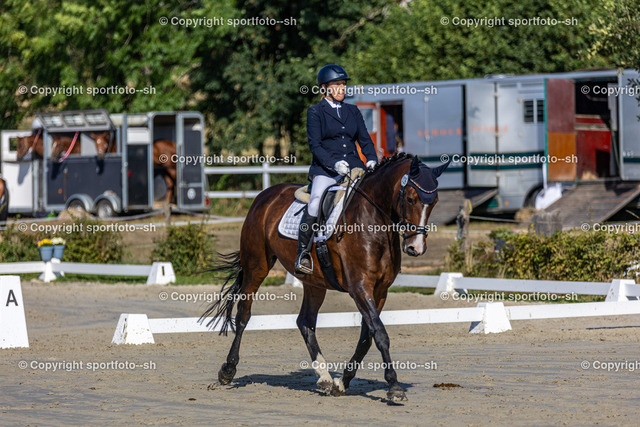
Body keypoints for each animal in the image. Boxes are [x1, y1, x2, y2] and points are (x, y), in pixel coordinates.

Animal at [201, 152, 450, 403]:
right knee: (244, 314)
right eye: (410, 198)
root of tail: (265, 195)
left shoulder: (380, 291)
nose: (416, 248)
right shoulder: (360, 288)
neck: (373, 222)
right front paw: (395, 387)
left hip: (314, 282)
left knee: (305, 321)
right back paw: (227, 371)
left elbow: (367, 337)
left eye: (435, 201)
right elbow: (380, 334)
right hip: (257, 266)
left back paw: (324, 376)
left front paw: (342, 383)